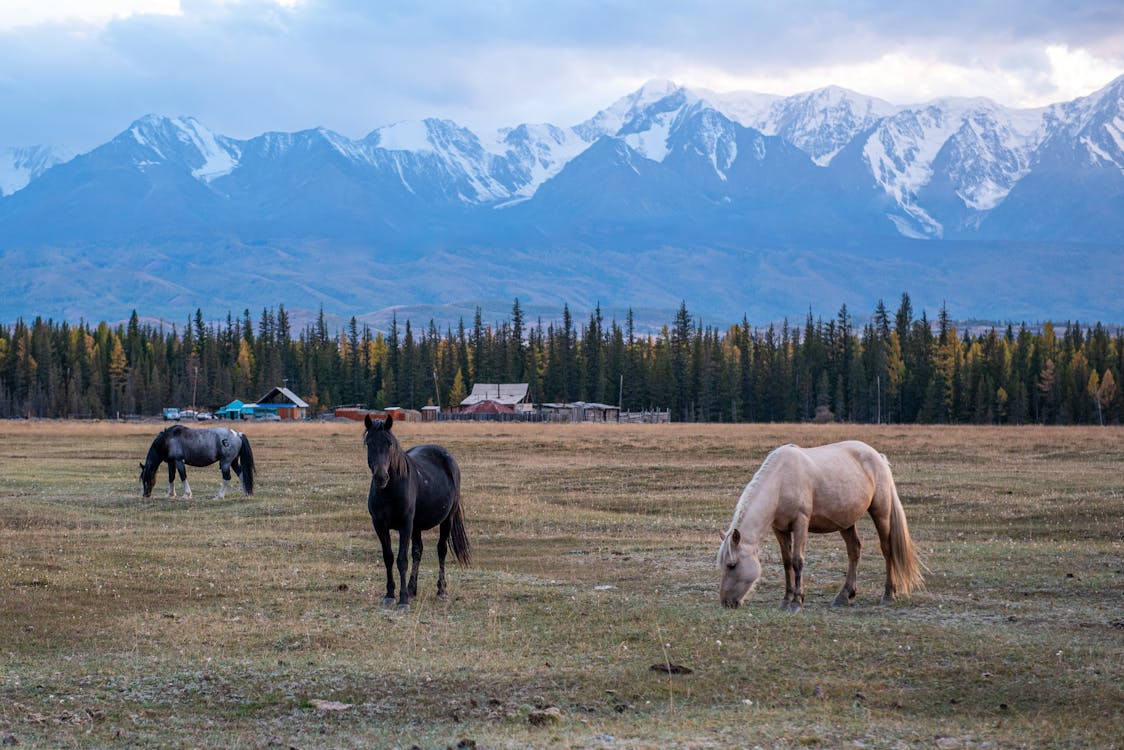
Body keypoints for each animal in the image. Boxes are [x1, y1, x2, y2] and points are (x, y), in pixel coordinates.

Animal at [364, 413, 469, 611]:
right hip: (417, 526)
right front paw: (390, 595)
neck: (389, 492)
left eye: (389, 444)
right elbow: (389, 557)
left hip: (447, 520)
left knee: (441, 550)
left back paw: (441, 590)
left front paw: (403, 600)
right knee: (417, 551)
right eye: (368, 443)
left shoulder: (405, 525)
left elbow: (402, 560)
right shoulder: (379, 525)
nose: (381, 477)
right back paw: (413, 589)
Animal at [714, 440, 926, 611]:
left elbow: (797, 561)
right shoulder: (780, 529)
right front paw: (786, 600)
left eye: (732, 565)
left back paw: (888, 595)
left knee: (887, 549)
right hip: (846, 522)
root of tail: (878, 457)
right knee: (854, 551)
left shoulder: (801, 522)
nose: (726, 603)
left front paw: (796, 602)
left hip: (880, 511)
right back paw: (844, 595)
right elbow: (786, 562)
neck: (781, 480)